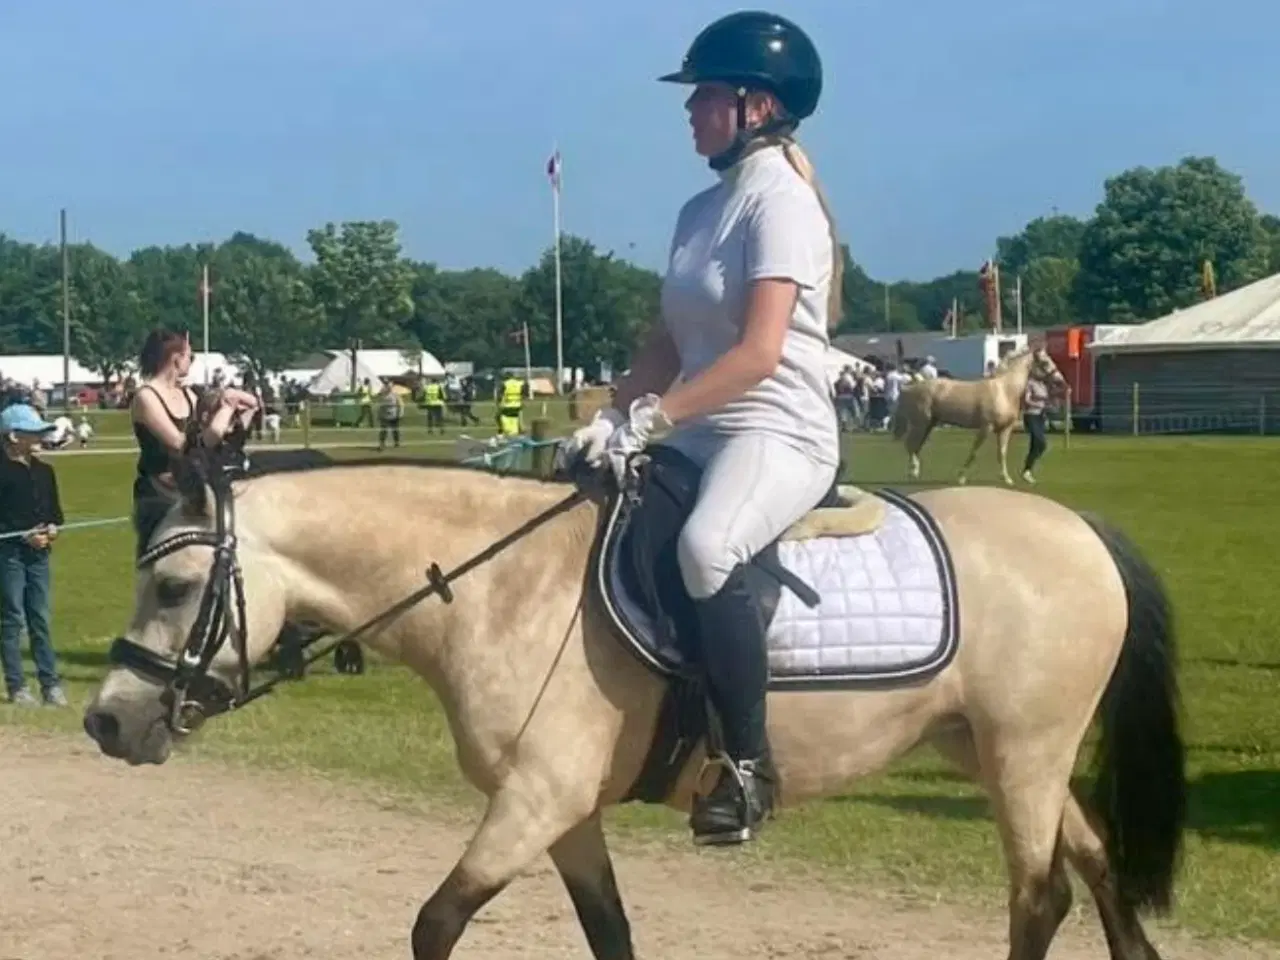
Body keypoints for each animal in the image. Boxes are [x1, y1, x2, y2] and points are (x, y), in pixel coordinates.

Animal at [81, 438, 1186, 960]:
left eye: (173, 587)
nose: (105, 719)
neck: (502, 586)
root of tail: (1080, 529)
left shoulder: (532, 801)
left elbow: (434, 925)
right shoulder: (562, 814)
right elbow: (608, 934)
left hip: (1024, 752)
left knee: (1040, 896)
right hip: (995, 752)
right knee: (1096, 868)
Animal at [890, 346, 1067, 485]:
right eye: (1045, 362)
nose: (1061, 382)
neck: (1004, 390)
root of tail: (909, 387)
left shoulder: (1005, 429)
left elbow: (1002, 453)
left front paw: (1007, 479)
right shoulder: (986, 427)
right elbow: (974, 452)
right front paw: (961, 478)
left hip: (929, 424)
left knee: (916, 446)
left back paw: (914, 472)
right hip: (920, 423)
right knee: (910, 445)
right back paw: (913, 472)